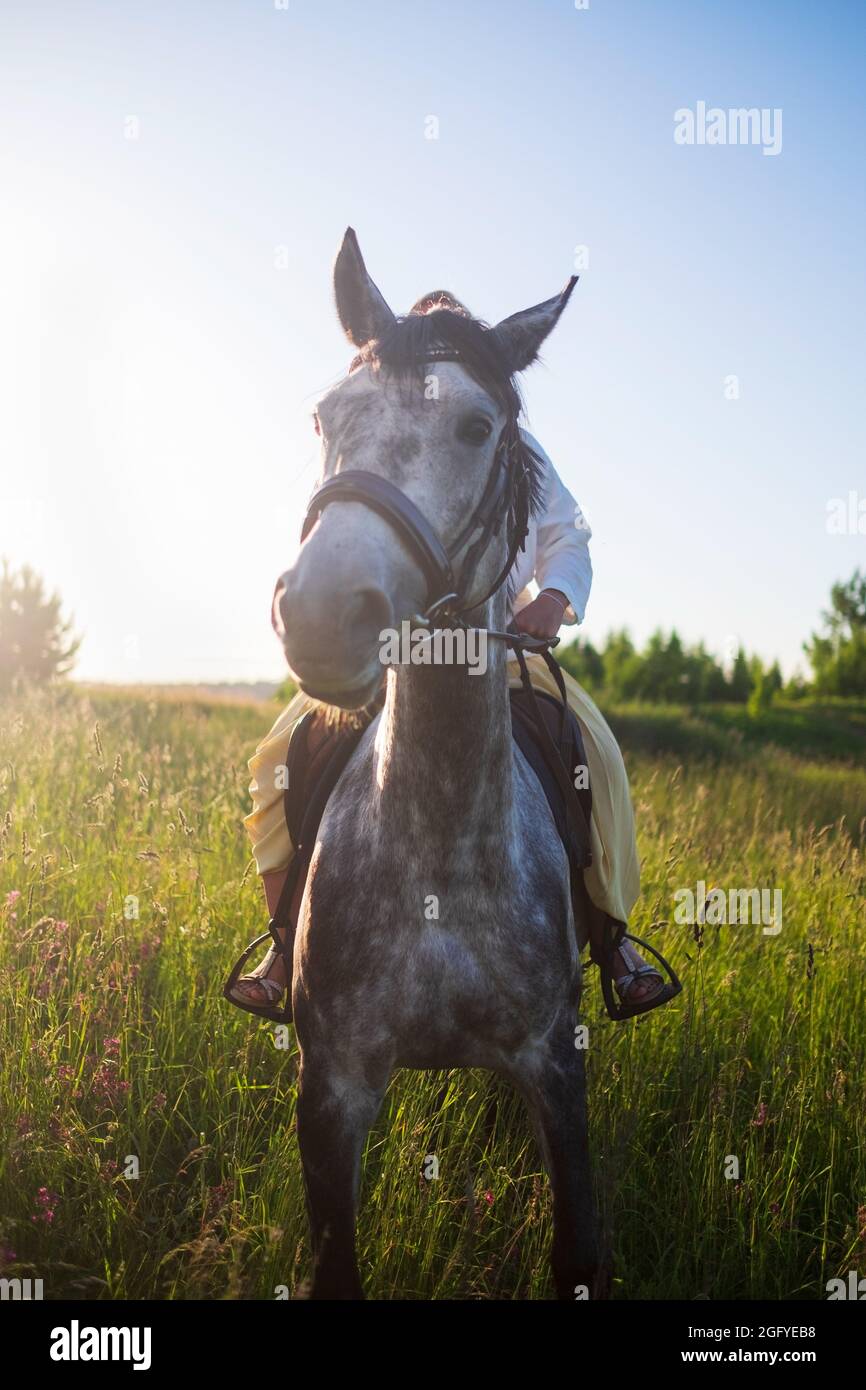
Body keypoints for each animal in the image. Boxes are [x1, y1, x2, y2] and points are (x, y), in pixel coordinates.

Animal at [273, 230, 606, 1301]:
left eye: (475, 426)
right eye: (326, 415)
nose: (323, 612)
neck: (438, 855)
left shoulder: (554, 1068)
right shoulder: (333, 1085)